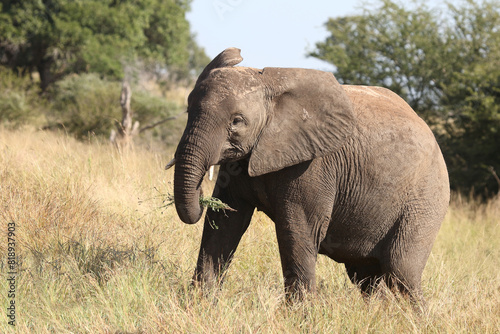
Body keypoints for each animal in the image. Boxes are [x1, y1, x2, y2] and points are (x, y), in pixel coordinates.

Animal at [167, 47, 450, 302]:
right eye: (189, 108)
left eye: (237, 121)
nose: (200, 192)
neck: (270, 87)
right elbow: (224, 221)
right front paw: (199, 302)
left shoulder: (314, 165)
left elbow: (297, 229)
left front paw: (299, 315)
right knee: (367, 278)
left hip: (426, 200)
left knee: (402, 273)